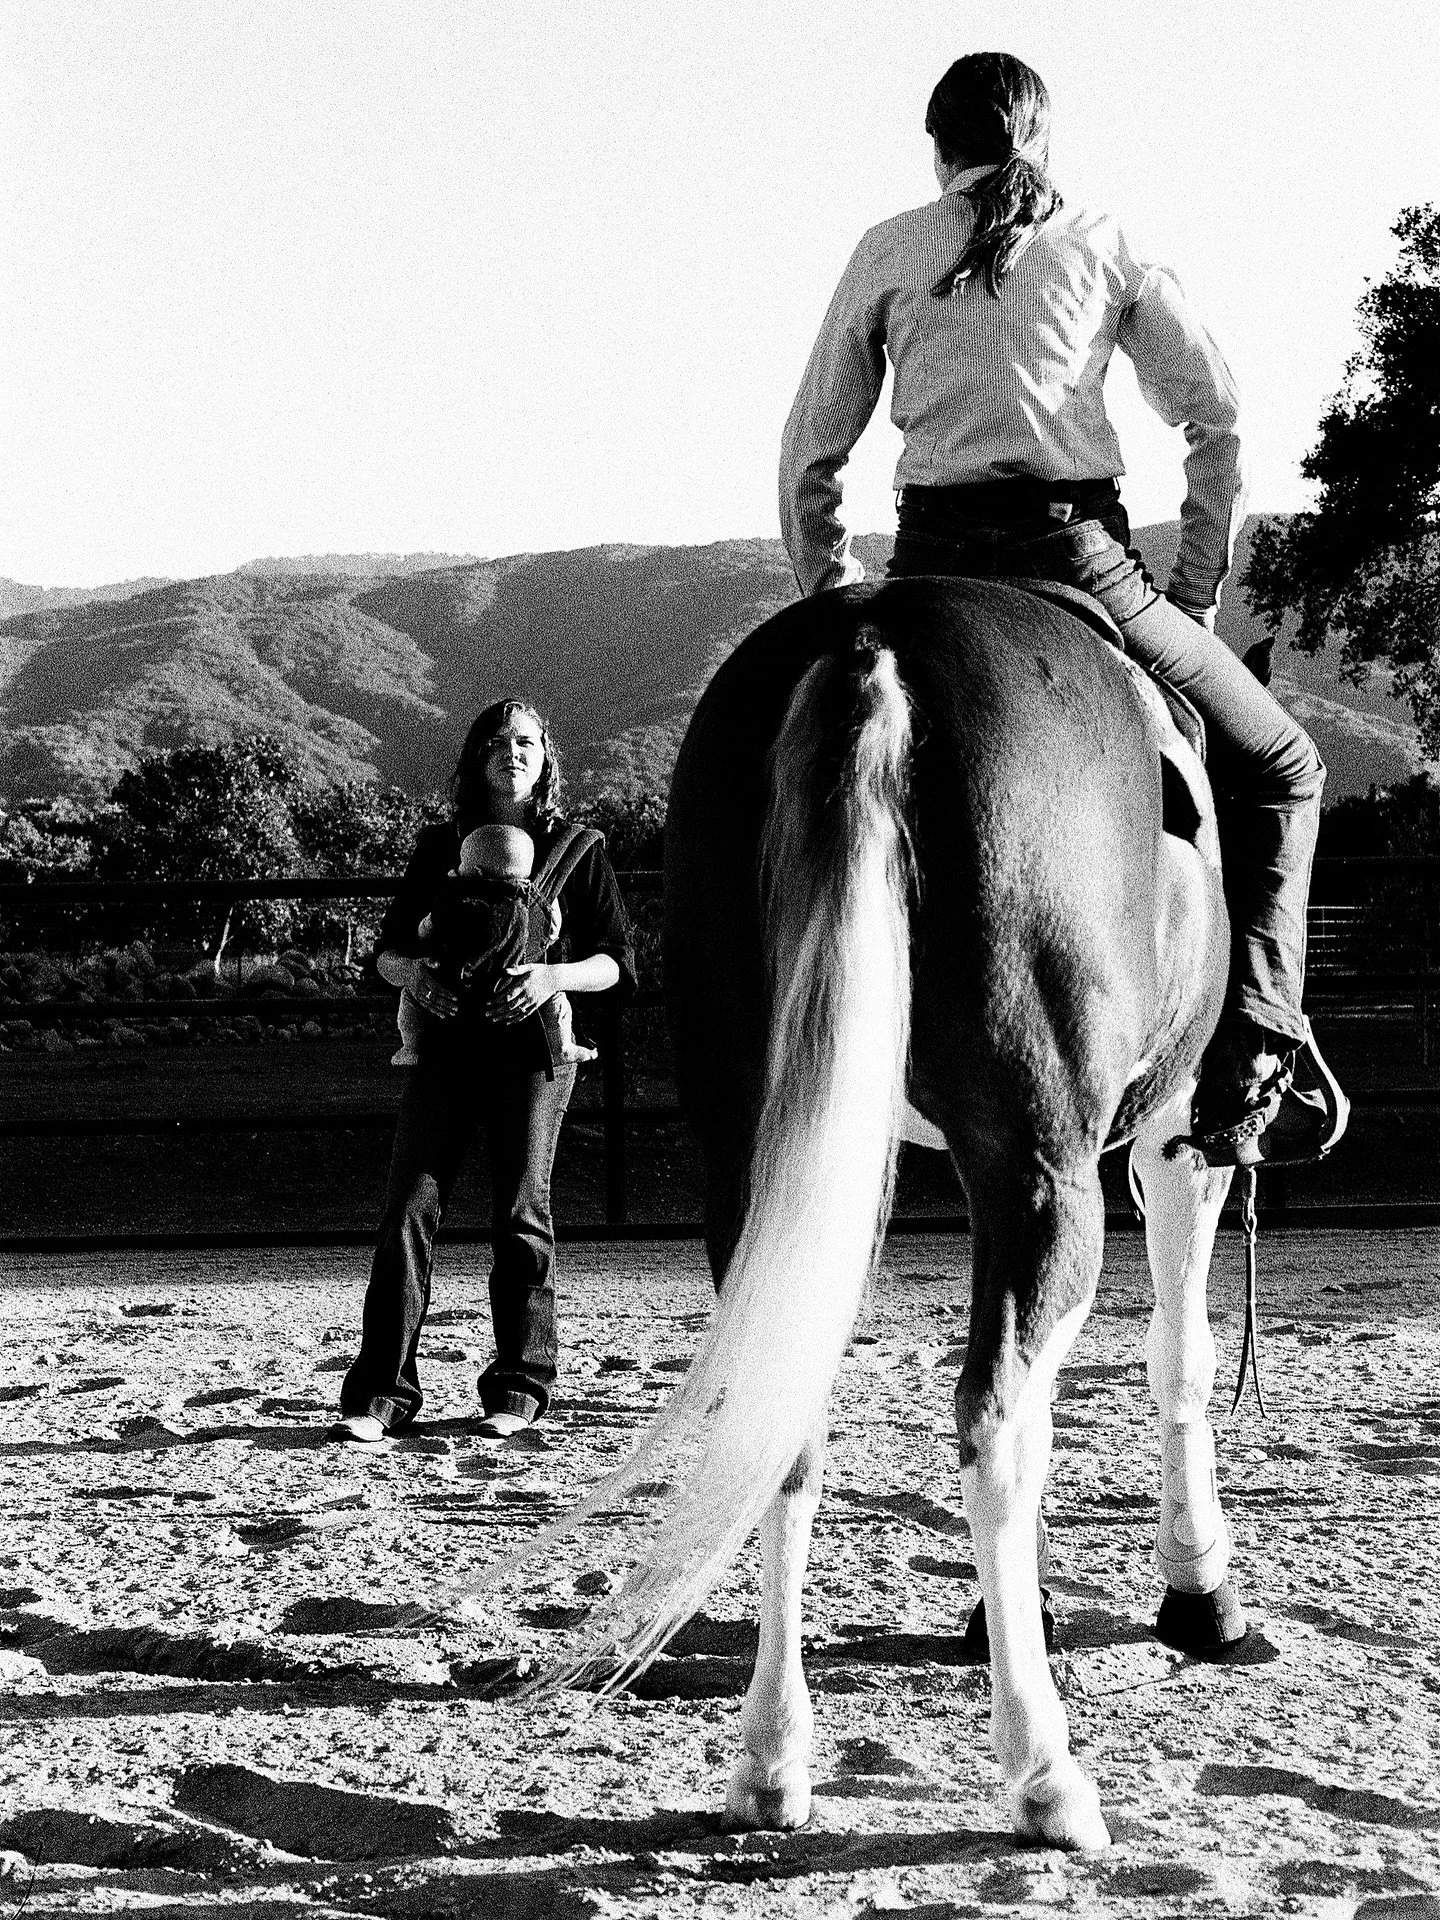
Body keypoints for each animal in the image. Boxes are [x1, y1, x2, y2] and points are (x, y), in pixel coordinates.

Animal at [481, 574, 1245, 1851]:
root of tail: (875, 636)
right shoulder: (1179, 1132)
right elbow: (1177, 1357)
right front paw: (1199, 1588)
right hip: (1043, 1176)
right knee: (997, 1423)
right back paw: (1043, 1772)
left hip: (761, 1173)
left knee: (785, 1419)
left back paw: (771, 1760)